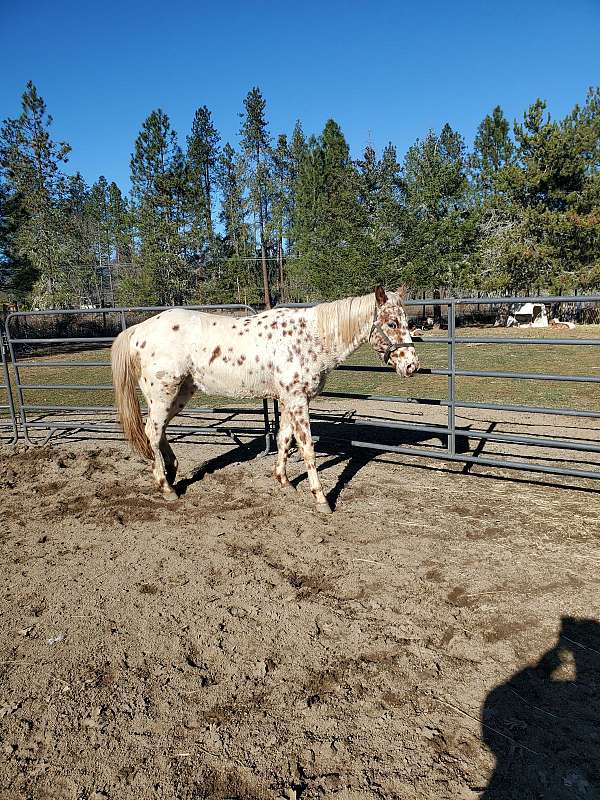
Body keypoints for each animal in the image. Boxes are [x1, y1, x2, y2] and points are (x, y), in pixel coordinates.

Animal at [111, 286, 420, 513]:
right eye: (392, 323)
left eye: (407, 322)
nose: (412, 366)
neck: (309, 339)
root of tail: (138, 330)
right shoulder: (298, 400)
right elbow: (307, 448)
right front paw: (321, 499)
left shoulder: (288, 400)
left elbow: (284, 439)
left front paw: (283, 481)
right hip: (163, 393)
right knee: (152, 432)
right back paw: (167, 488)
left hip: (179, 394)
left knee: (160, 430)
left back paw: (172, 471)